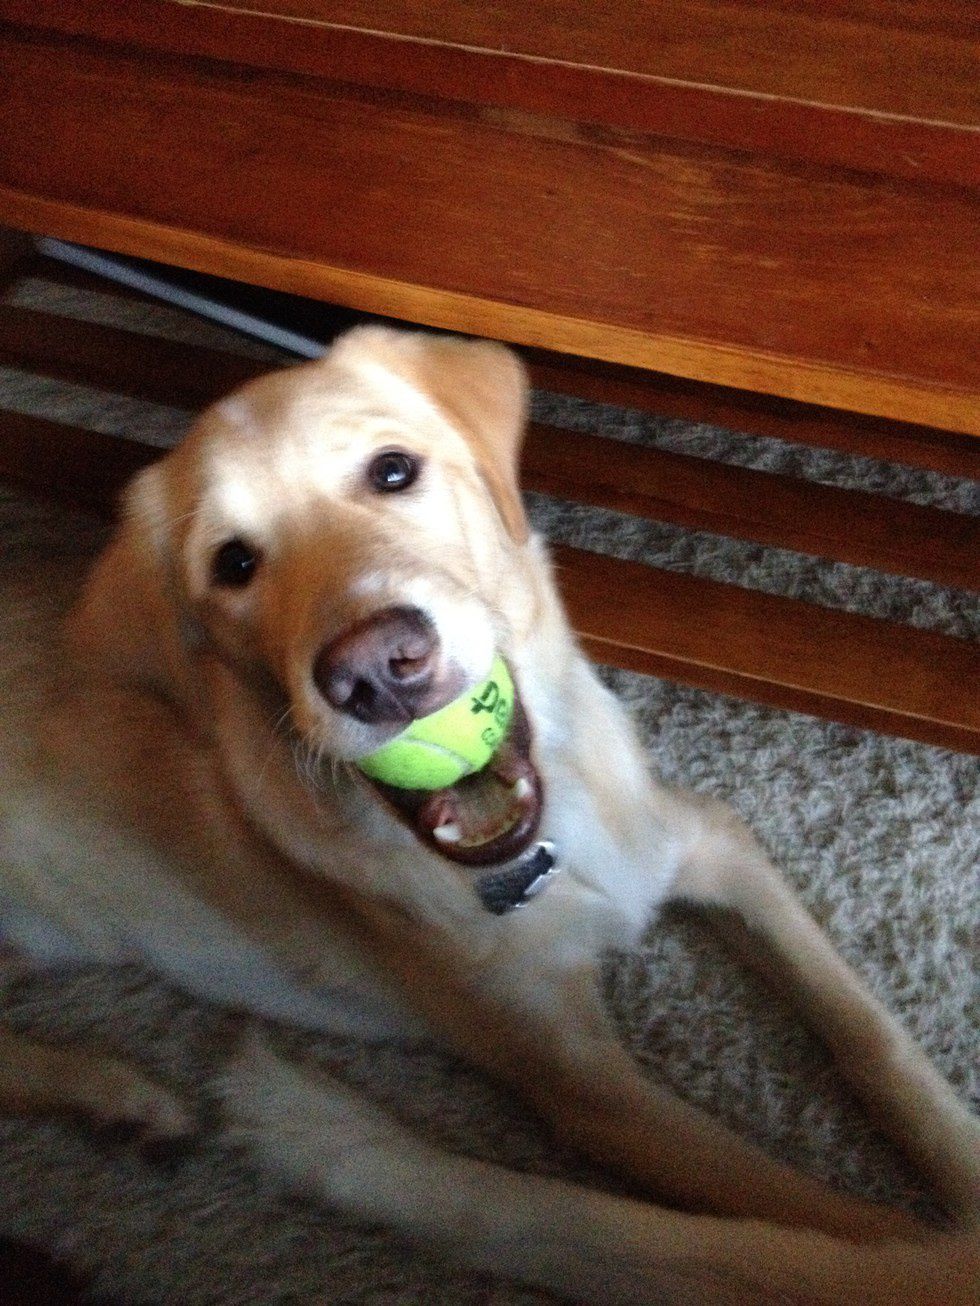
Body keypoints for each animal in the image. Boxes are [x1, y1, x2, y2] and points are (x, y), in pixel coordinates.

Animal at [0, 326, 977, 1303]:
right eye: (232, 564)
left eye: (393, 471)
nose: (376, 668)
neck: (558, 852)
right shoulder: (595, 1093)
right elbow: (815, 1221)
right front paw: (915, 1241)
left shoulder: (711, 847)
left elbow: (873, 1037)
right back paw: (121, 1098)